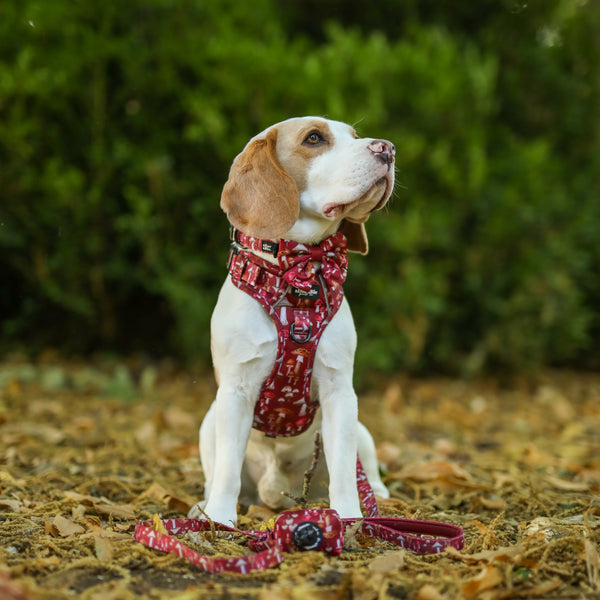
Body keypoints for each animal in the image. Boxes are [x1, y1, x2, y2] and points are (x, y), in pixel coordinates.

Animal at [191, 117, 394, 524]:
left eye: (354, 135)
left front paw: (348, 518)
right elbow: (226, 470)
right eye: (314, 138)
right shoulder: (235, 391)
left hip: (361, 429)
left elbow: (345, 471)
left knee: (366, 468)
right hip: (209, 421)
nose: (388, 149)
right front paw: (219, 519)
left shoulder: (339, 393)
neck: (297, 275)